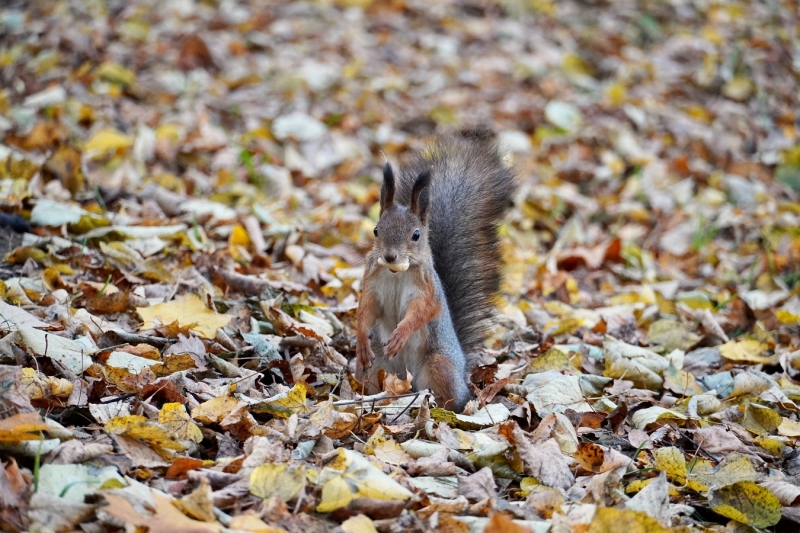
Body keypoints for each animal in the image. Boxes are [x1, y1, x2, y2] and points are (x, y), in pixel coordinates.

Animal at [356, 130, 520, 412]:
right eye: (376, 230)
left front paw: (401, 334)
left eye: (416, 235)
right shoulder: (372, 283)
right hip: (376, 368)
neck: (396, 273)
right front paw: (361, 342)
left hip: (440, 366)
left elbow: (423, 311)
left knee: (451, 398)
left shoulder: (427, 289)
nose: (389, 256)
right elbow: (366, 309)